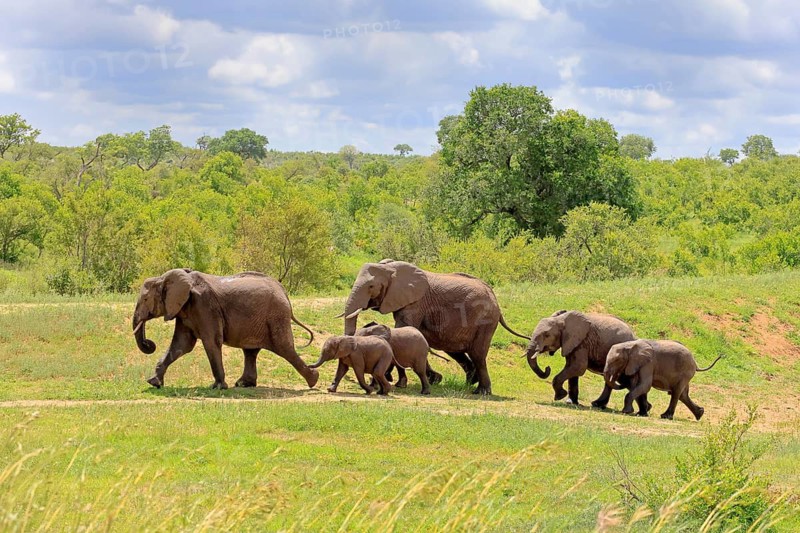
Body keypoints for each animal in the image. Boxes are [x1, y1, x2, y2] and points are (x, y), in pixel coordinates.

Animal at [132, 268, 319, 390]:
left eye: (145, 299)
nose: (149, 343)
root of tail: (283, 291)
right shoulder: (184, 310)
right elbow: (181, 345)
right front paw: (153, 383)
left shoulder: (204, 306)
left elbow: (211, 341)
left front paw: (218, 388)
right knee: (251, 351)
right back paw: (244, 384)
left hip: (276, 316)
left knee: (284, 348)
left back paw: (314, 380)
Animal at [341, 259, 530, 395]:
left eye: (371, 286)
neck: (391, 268)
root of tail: (494, 297)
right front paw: (433, 379)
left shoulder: (416, 303)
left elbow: (404, 328)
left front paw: (398, 382)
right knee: (457, 351)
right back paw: (469, 383)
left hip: (485, 321)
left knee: (478, 354)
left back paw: (481, 392)